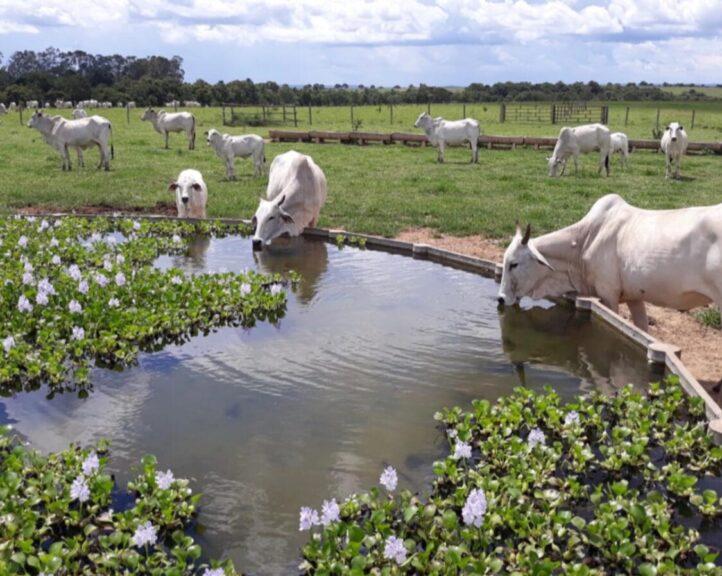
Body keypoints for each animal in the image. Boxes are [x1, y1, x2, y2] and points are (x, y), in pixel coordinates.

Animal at [496, 194, 720, 330]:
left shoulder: (608, 294)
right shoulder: (634, 296)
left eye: (514, 264)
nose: (500, 298)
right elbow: (642, 328)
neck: (584, 242)